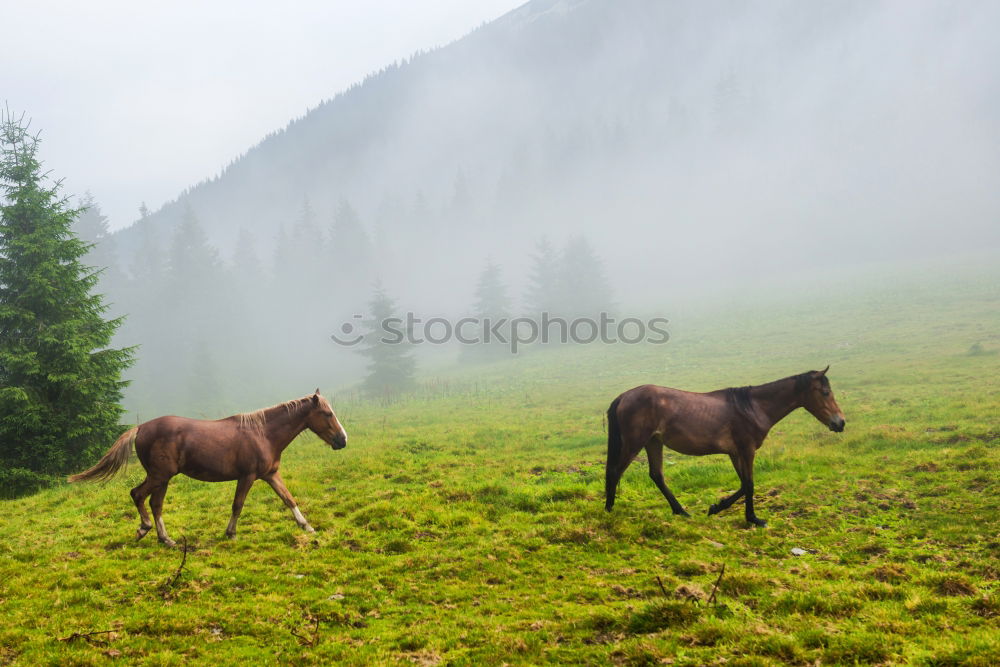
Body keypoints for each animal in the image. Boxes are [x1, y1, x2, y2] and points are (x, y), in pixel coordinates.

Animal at [67, 388, 348, 544]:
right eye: (327, 414)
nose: (342, 440)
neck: (263, 433)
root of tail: (141, 428)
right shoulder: (247, 476)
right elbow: (238, 505)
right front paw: (231, 533)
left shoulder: (270, 475)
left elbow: (288, 499)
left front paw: (307, 526)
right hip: (159, 476)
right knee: (137, 495)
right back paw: (144, 529)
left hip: (163, 478)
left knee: (155, 504)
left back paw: (165, 539)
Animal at [600, 368, 844, 524]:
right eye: (825, 392)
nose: (840, 422)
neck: (752, 407)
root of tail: (623, 396)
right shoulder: (746, 450)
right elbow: (749, 484)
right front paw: (753, 519)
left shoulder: (735, 453)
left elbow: (744, 484)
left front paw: (717, 508)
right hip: (636, 442)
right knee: (615, 472)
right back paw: (609, 510)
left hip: (653, 442)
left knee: (656, 475)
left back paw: (681, 512)